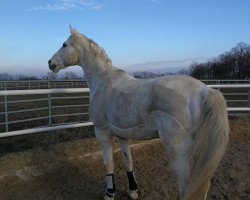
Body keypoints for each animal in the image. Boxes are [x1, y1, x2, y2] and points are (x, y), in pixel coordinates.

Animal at [47, 27, 229, 200]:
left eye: (64, 44)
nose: (50, 63)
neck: (104, 81)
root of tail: (204, 90)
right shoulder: (122, 135)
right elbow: (128, 161)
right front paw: (132, 191)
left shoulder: (102, 131)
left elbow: (108, 164)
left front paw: (109, 193)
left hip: (178, 153)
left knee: (187, 188)